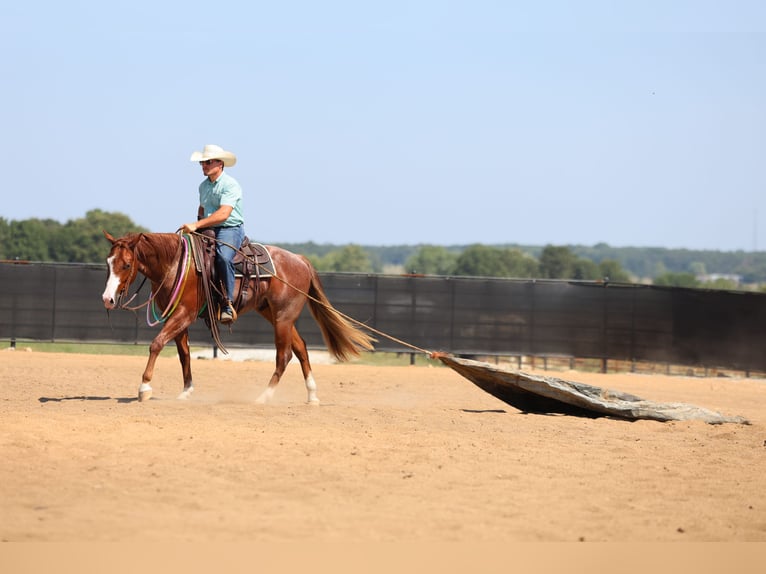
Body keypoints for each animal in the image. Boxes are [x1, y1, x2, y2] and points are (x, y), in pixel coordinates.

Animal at [101, 231, 375, 403]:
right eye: (108, 262)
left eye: (126, 265)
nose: (107, 299)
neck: (177, 264)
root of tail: (300, 260)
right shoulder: (178, 317)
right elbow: (183, 354)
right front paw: (186, 391)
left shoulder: (184, 314)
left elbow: (156, 344)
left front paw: (144, 388)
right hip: (275, 315)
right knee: (301, 349)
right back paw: (312, 395)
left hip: (284, 317)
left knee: (285, 355)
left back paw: (264, 397)